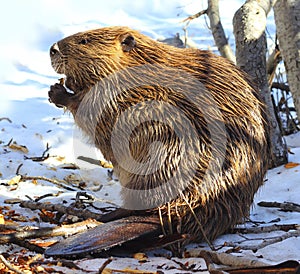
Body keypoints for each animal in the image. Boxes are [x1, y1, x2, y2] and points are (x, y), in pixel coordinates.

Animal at [47, 26, 270, 256]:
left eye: (84, 41)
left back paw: (106, 215)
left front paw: (58, 91)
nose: (52, 49)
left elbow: (91, 108)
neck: (140, 68)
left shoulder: (119, 92)